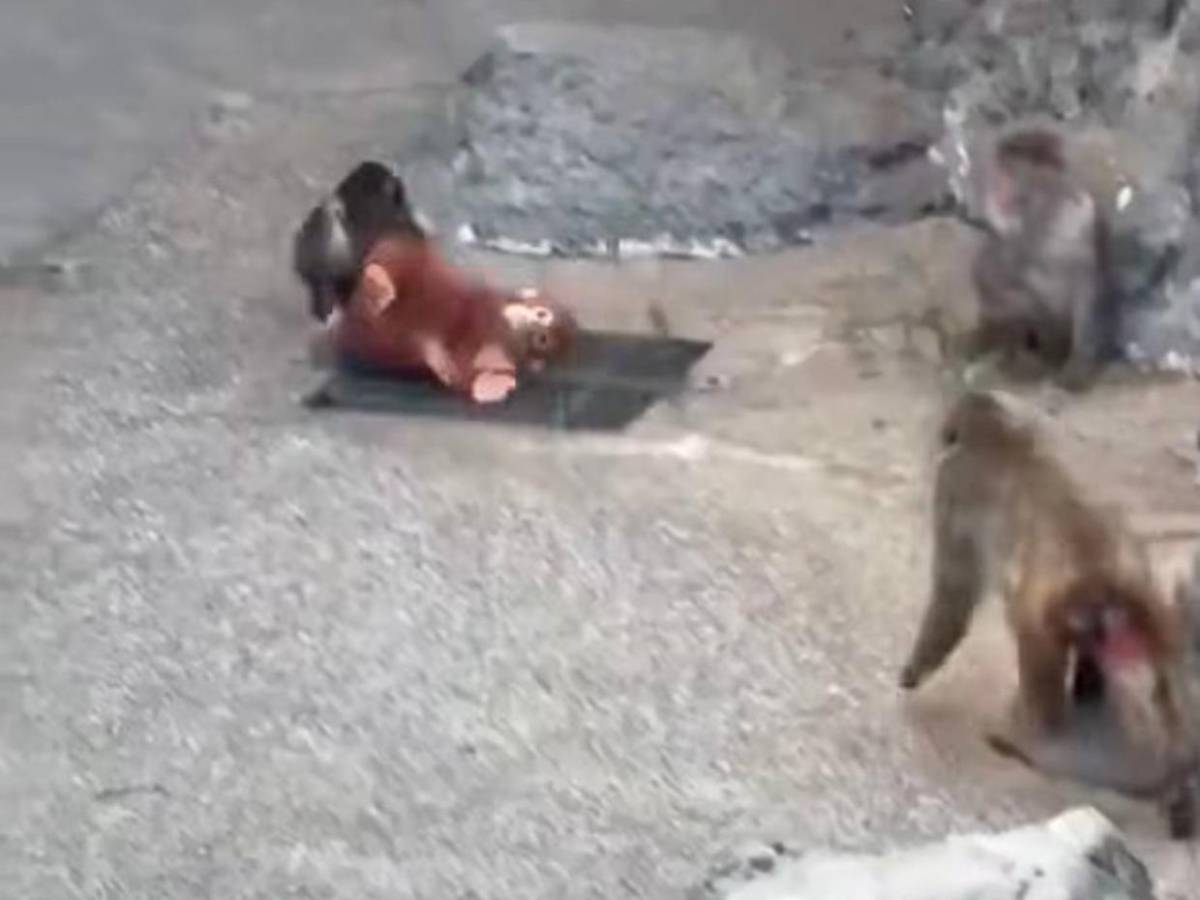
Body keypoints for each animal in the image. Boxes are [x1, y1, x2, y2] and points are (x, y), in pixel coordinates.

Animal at [320, 233, 577, 404]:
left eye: (543, 340)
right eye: (541, 313)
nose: (537, 327)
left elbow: (468, 377)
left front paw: (496, 383)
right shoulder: (481, 306)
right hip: (400, 257)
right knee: (396, 258)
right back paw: (378, 285)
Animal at [899, 390, 1198, 837]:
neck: (1002, 436)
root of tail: (1105, 578)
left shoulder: (952, 487)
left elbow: (954, 593)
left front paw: (915, 669)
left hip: (1058, 613)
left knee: (1031, 633)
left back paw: (1040, 743)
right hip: (1141, 605)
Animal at [969, 126, 1113, 391]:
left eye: (1008, 172)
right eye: (1000, 170)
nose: (996, 190)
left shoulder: (1085, 222)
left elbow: (1088, 292)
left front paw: (1076, 368)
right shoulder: (1013, 237)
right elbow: (993, 287)